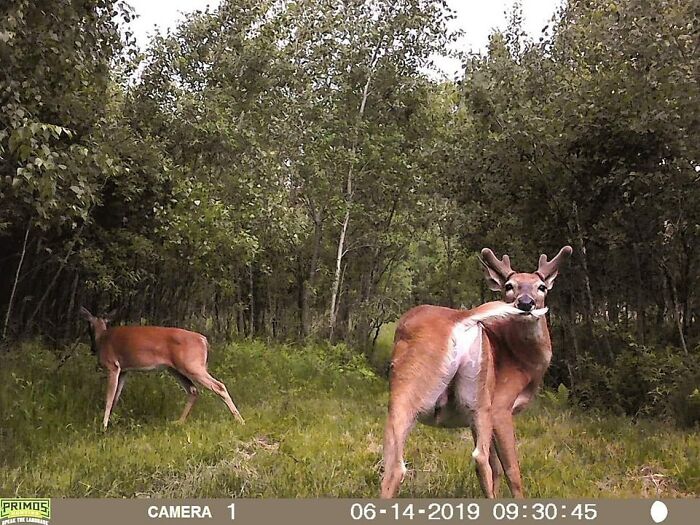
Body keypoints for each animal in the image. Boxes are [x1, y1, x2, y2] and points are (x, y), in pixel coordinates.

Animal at [79, 307, 245, 430]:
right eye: (89, 325)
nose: (92, 348)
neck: (102, 337)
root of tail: (203, 340)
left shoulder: (112, 365)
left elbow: (108, 397)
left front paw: (104, 426)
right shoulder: (124, 370)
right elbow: (116, 396)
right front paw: (111, 421)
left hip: (192, 365)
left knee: (219, 386)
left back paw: (239, 420)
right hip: (175, 369)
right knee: (193, 390)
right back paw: (179, 422)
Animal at [381, 246, 572, 499]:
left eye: (541, 286)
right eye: (509, 286)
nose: (526, 303)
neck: (524, 365)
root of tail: (462, 318)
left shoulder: (481, 417)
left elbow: (496, 467)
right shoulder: (501, 406)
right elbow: (511, 470)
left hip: (470, 399)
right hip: (414, 382)